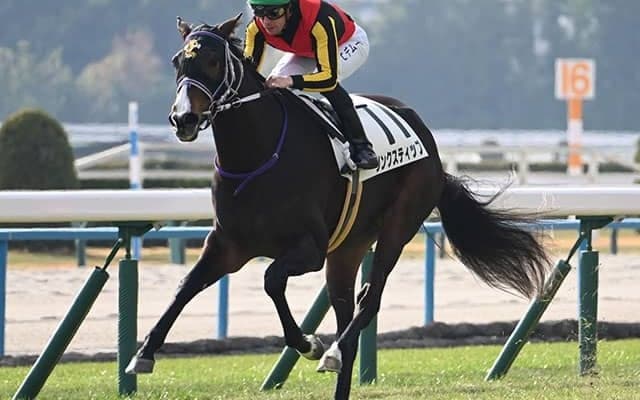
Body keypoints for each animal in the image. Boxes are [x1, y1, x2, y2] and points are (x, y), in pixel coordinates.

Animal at [125, 15, 550, 400]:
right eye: (177, 61)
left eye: (213, 61)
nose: (183, 118)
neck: (257, 156)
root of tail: (430, 147)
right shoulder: (228, 245)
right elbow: (186, 286)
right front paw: (143, 353)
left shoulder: (309, 249)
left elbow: (271, 280)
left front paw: (308, 343)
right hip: (348, 246)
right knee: (347, 305)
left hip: (397, 227)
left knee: (369, 300)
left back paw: (331, 351)